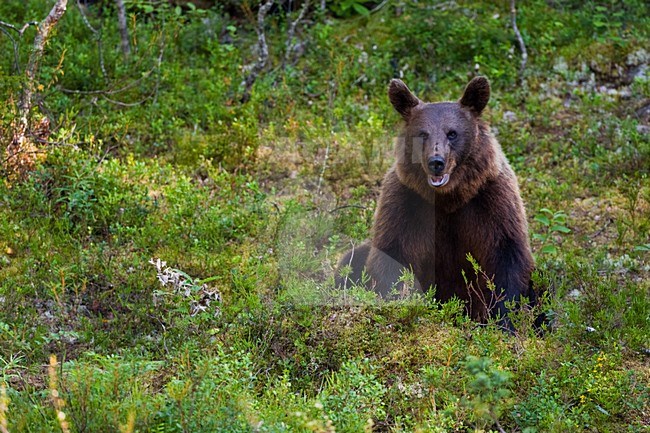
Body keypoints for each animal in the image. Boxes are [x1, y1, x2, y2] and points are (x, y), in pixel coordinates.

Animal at [336, 76, 536, 326]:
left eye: (452, 133)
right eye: (423, 133)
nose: (436, 162)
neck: (448, 198)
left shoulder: (490, 201)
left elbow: (505, 257)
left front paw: (502, 318)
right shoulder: (406, 204)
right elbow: (393, 256)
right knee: (351, 260)